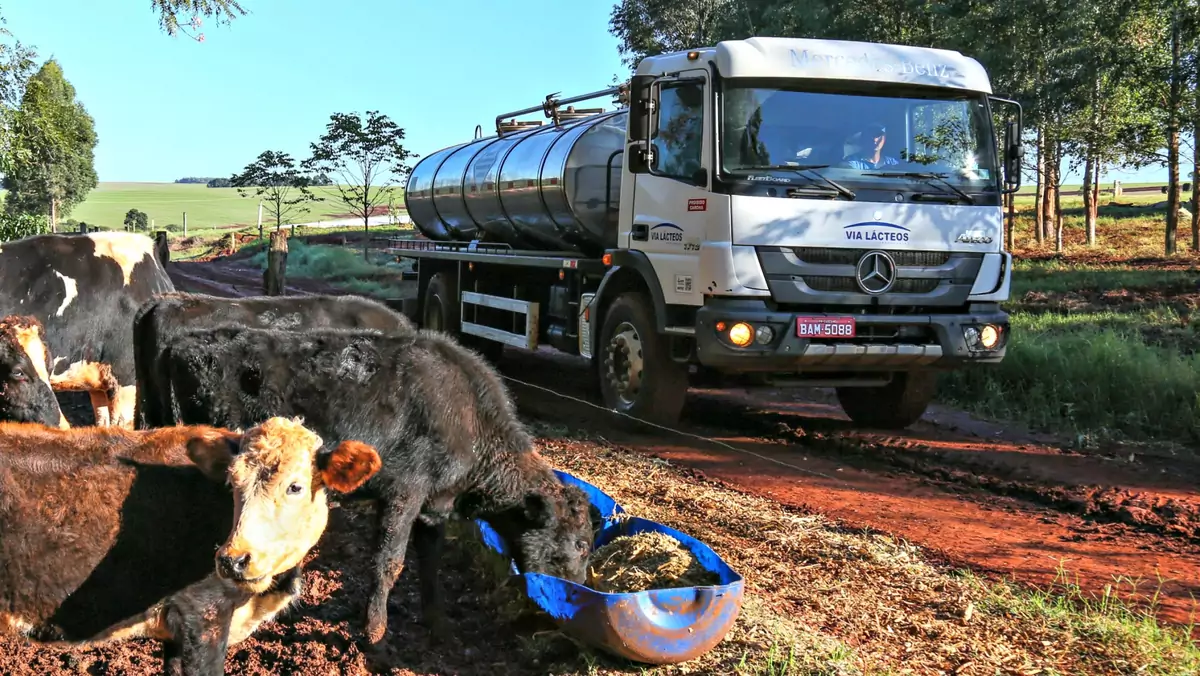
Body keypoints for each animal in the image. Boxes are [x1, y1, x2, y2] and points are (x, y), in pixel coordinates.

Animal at [150, 324, 595, 648]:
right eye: (580, 544)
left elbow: (428, 560)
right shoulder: (404, 491)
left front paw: (438, 625)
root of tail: (182, 341)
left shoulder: (433, 507)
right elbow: (389, 562)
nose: (579, 593)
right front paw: (375, 633)